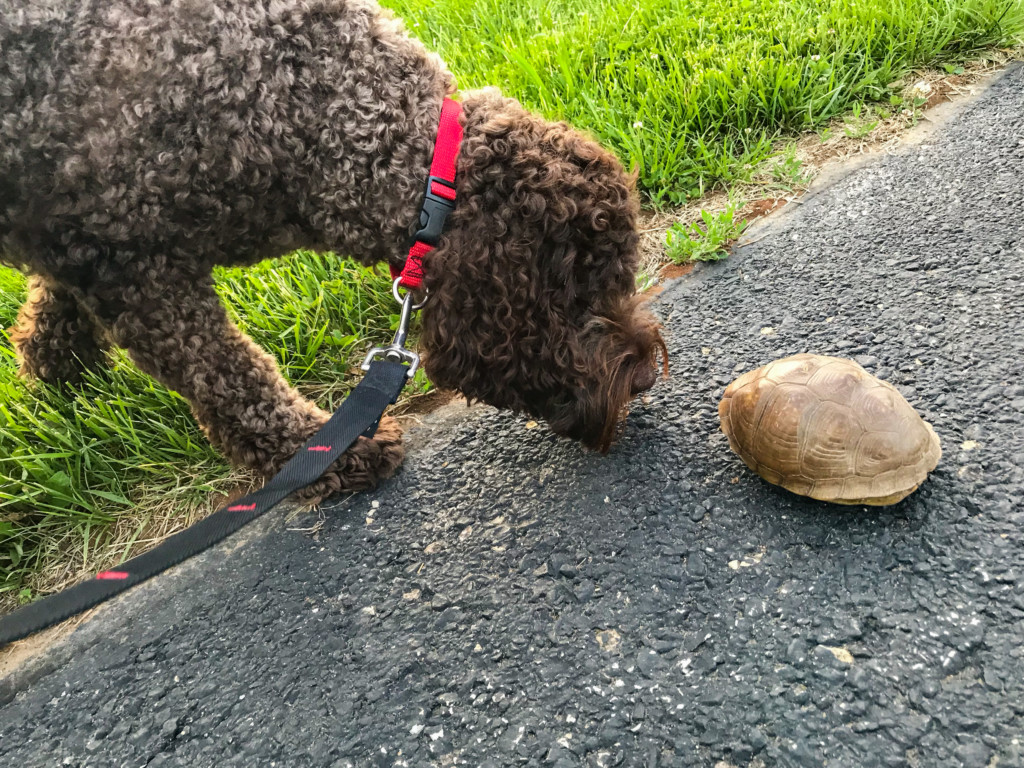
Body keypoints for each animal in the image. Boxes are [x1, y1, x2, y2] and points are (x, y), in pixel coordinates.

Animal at [0, 0, 667, 499]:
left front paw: (53, 373)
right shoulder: (138, 269)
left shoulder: (78, 238)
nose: (642, 378)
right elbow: (234, 382)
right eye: (581, 295)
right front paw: (323, 455)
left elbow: (55, 298)